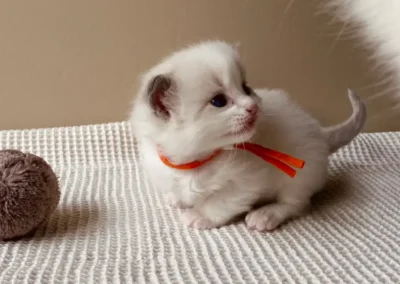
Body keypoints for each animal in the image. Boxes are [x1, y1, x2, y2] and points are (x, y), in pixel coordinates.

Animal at [130, 40, 368, 231]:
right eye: (219, 101)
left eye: (245, 88)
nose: (252, 107)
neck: (196, 161)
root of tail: (321, 133)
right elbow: (178, 189)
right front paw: (177, 198)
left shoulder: (247, 181)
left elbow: (220, 201)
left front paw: (201, 215)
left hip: (300, 175)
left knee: (296, 204)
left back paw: (266, 215)